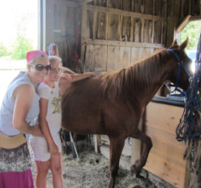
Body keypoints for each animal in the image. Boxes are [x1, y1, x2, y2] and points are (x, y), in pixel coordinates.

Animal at [62, 37, 192, 187]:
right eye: (189, 62)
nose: (195, 85)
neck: (126, 93)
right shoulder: (117, 138)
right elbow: (113, 169)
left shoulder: (130, 131)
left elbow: (149, 141)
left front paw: (137, 167)